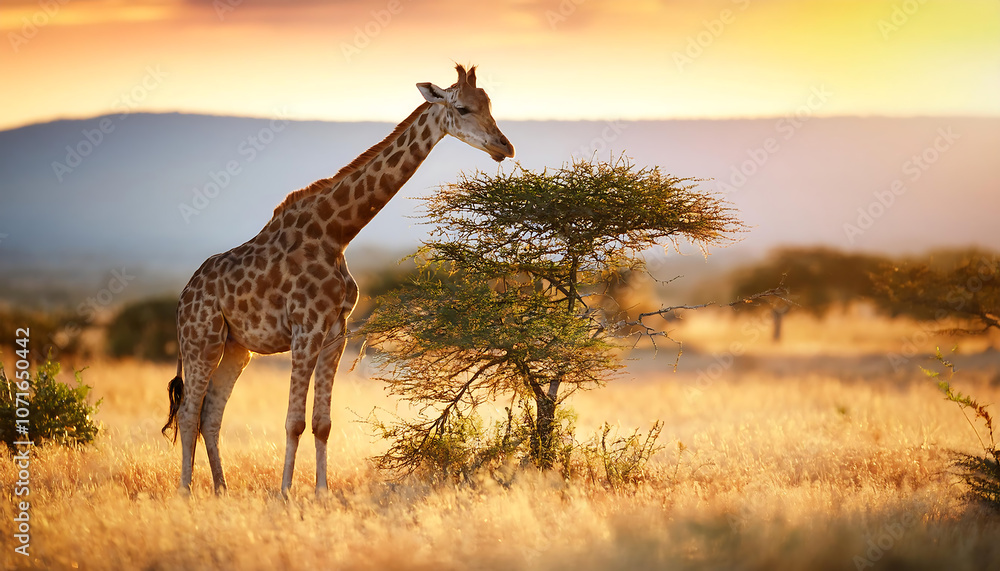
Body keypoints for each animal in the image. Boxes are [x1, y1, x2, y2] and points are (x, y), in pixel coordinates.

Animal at [162, 64, 514, 497]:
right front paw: (285, 495)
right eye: (462, 108)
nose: (505, 147)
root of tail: (183, 296)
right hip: (202, 339)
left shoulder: (336, 332)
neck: (336, 233)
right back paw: (185, 492)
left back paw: (222, 491)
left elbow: (322, 424)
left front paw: (322, 493)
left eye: (489, 105)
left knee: (211, 414)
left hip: (236, 348)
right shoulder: (306, 327)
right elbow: (294, 421)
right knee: (189, 412)